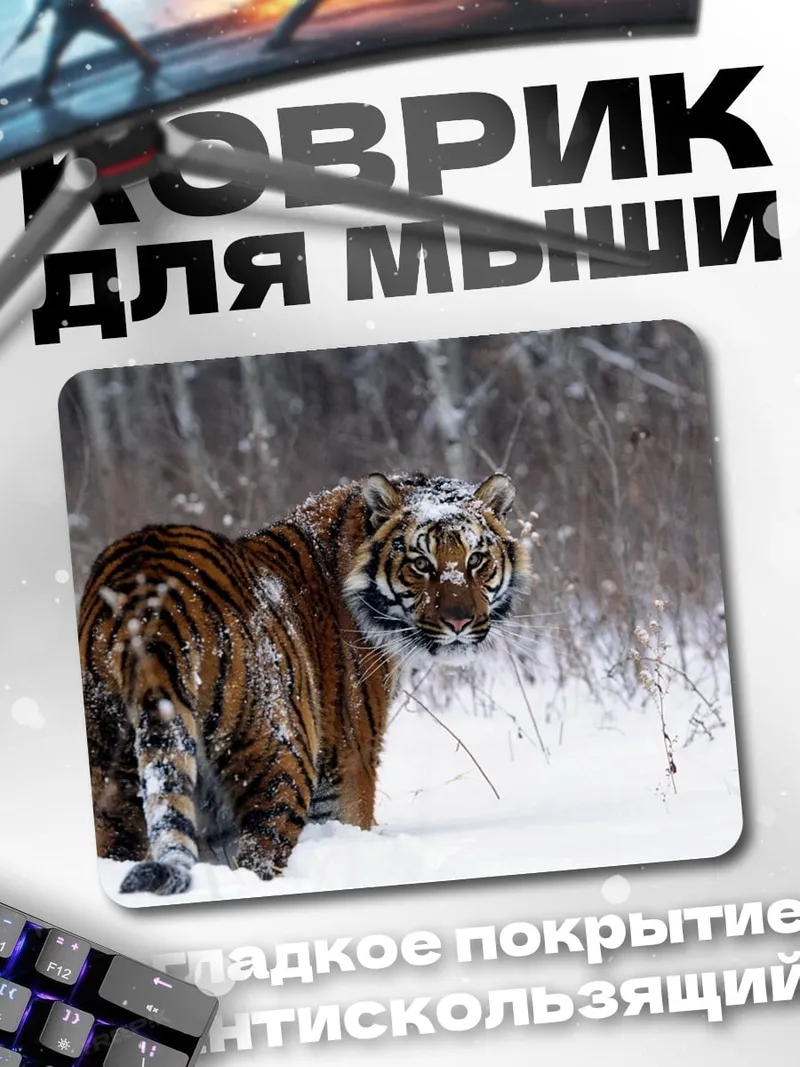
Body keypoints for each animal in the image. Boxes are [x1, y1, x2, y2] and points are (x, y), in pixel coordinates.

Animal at [78, 470, 530, 896]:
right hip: (279, 759)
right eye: (421, 563)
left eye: (476, 559)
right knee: (258, 855)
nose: (459, 622)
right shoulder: (348, 765)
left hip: (110, 770)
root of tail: (149, 605)